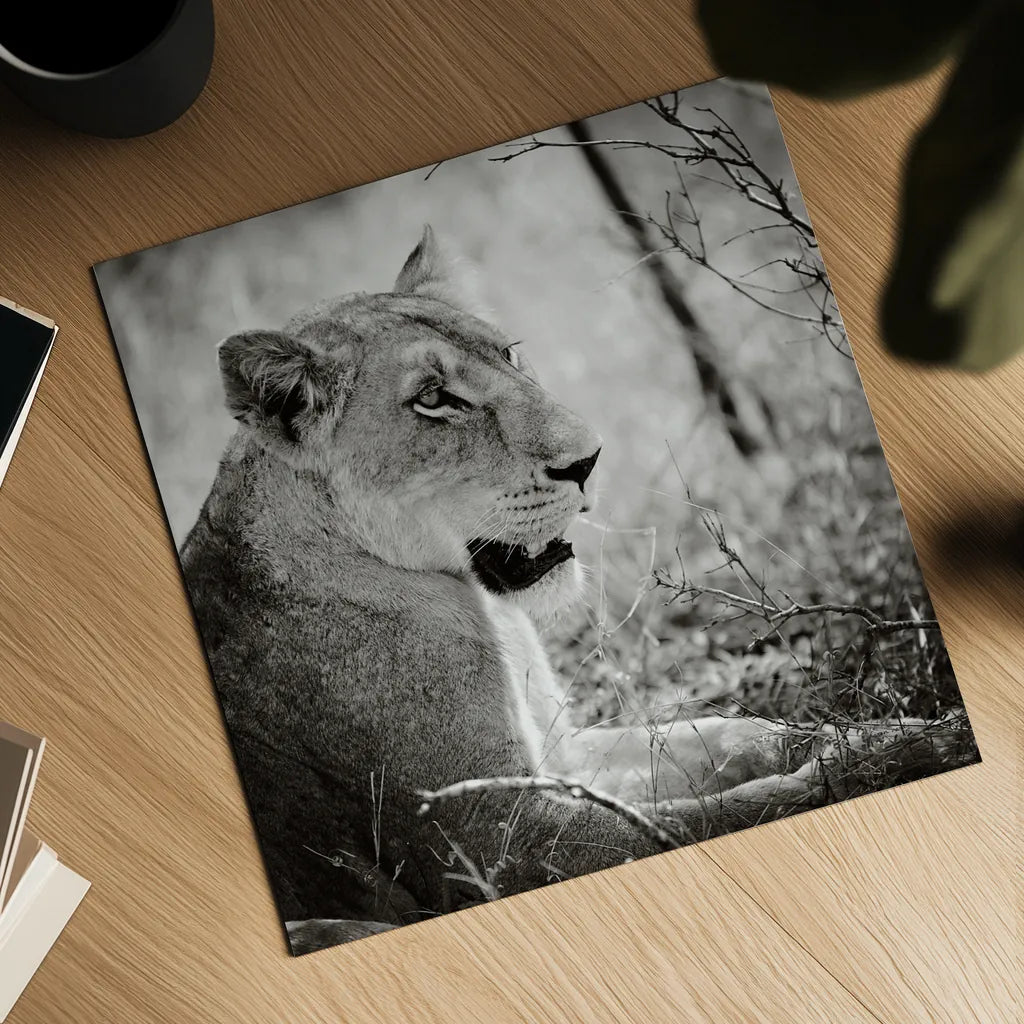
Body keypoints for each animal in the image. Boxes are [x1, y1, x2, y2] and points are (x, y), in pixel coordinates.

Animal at [181, 227, 958, 955]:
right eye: (433, 399)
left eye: (509, 354)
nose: (589, 461)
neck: (487, 611)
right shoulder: (501, 842)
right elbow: (706, 819)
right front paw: (883, 764)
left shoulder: (564, 758)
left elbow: (731, 735)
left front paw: (901, 731)